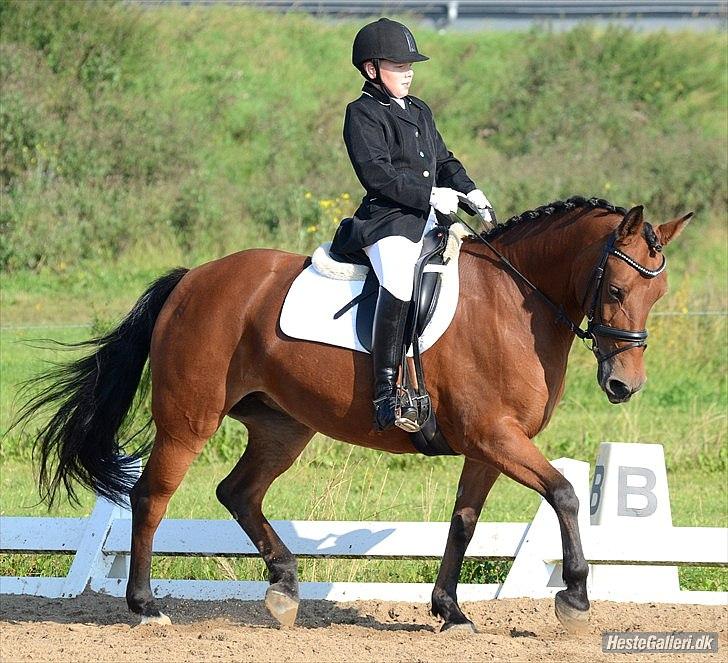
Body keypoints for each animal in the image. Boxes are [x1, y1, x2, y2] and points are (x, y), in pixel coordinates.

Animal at [15, 196, 688, 632]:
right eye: (617, 290)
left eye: (657, 294)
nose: (623, 385)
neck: (515, 302)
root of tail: (191, 280)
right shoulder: (495, 436)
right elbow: (566, 494)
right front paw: (574, 597)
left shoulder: (488, 444)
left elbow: (464, 521)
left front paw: (450, 611)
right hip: (190, 419)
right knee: (153, 495)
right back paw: (146, 605)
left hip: (283, 425)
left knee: (238, 492)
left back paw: (285, 588)